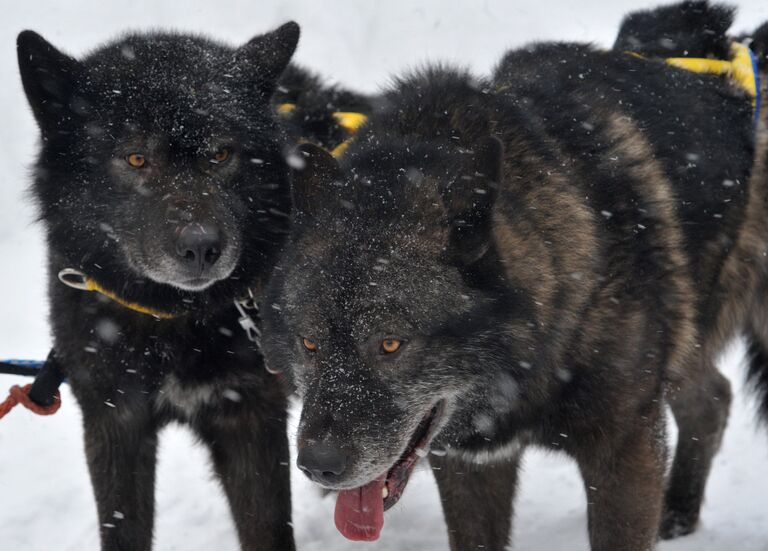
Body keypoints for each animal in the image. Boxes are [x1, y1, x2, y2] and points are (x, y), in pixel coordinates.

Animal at [18, 22, 302, 551]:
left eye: (220, 153)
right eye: (136, 158)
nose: (201, 247)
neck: (172, 321)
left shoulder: (252, 416)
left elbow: (269, 530)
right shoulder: (114, 419)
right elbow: (121, 528)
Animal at [260, 3, 760, 548]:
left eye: (390, 344)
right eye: (309, 343)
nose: (317, 466)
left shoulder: (625, 449)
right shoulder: (471, 464)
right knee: (714, 396)